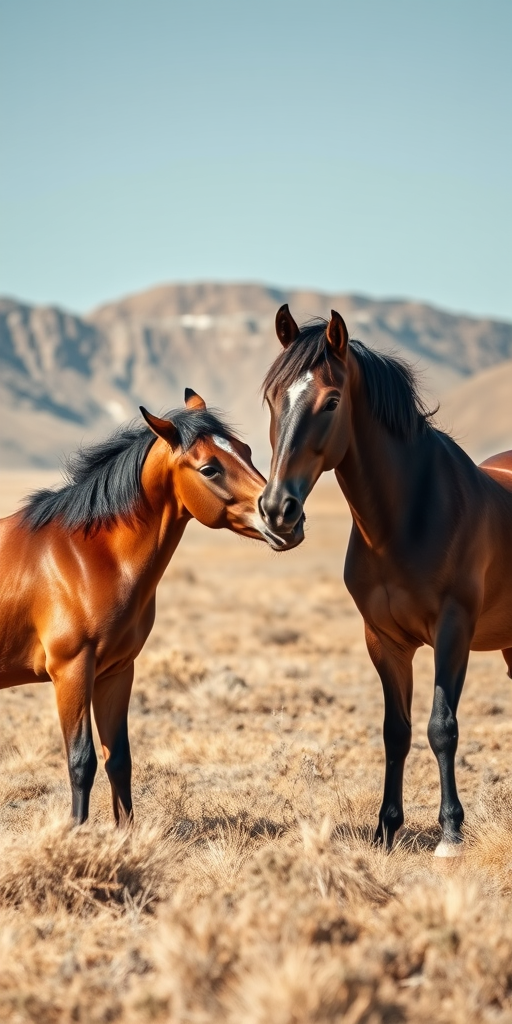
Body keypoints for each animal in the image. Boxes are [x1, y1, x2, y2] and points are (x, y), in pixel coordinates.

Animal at [0, 389, 279, 825]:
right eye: (210, 468)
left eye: (246, 450)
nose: (286, 515)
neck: (85, 556)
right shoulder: (71, 672)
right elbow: (81, 761)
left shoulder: (116, 671)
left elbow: (119, 761)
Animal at [259, 304, 512, 857]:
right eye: (271, 398)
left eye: (331, 401)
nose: (277, 510)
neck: (407, 517)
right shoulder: (383, 639)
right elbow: (395, 731)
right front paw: (386, 829)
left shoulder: (453, 631)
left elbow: (441, 727)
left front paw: (451, 833)